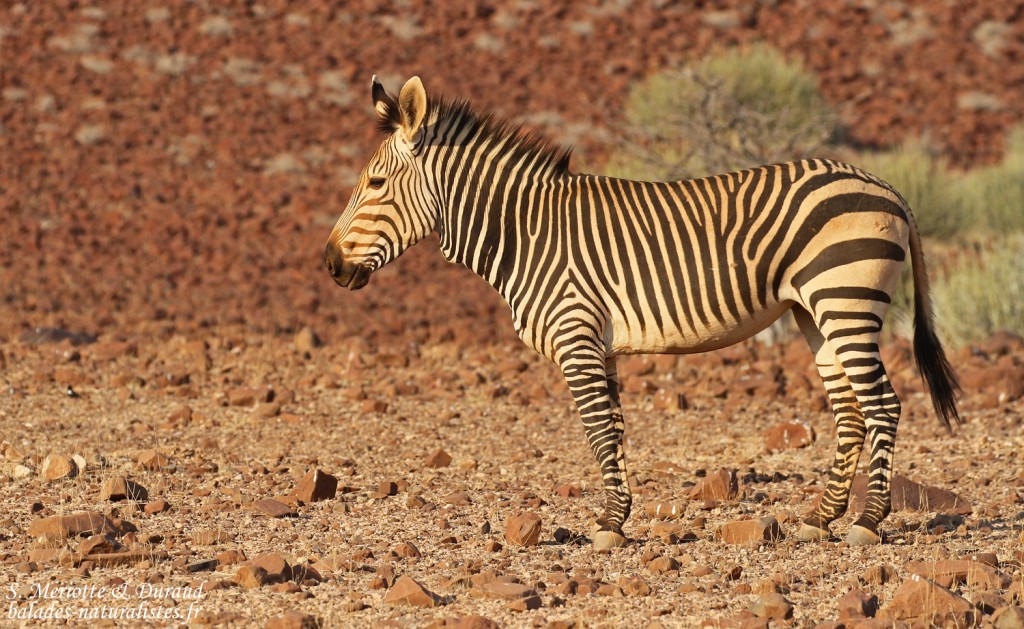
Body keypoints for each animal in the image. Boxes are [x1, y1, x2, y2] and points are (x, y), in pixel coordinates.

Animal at [324, 76, 960, 549]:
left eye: (375, 183)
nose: (329, 265)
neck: (526, 233)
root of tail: (886, 186)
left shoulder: (576, 332)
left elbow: (597, 428)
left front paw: (608, 526)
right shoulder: (598, 343)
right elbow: (615, 427)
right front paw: (618, 515)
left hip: (845, 301)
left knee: (883, 405)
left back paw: (866, 522)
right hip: (816, 314)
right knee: (850, 412)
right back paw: (820, 517)